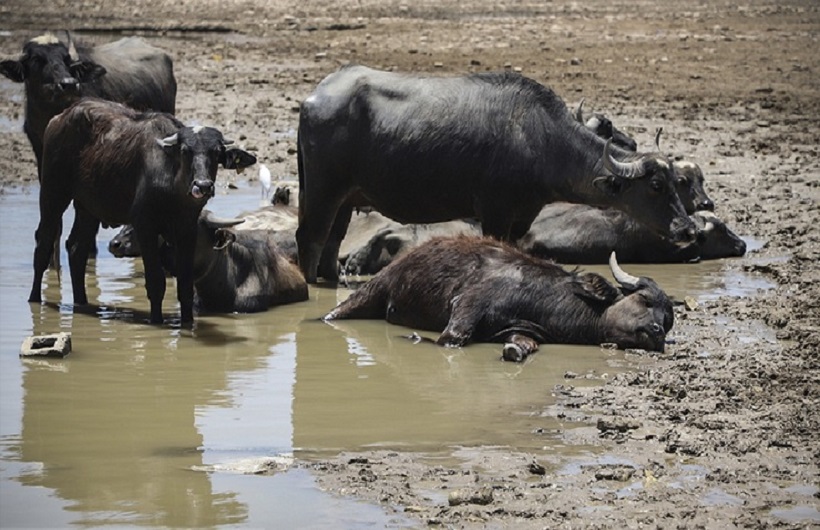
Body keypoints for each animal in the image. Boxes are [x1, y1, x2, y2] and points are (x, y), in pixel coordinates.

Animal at [28, 97, 255, 324]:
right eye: (185, 151)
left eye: (216, 153)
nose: (203, 185)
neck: (171, 187)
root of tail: (60, 117)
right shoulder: (145, 227)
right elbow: (155, 283)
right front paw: (156, 321)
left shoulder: (187, 229)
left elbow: (185, 284)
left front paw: (187, 324)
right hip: (52, 194)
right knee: (43, 245)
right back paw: (35, 300)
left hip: (88, 208)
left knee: (76, 250)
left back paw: (82, 303)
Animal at [298, 64, 696, 282]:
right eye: (656, 185)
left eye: (676, 184)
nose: (688, 230)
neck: (540, 139)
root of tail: (314, 98)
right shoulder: (493, 212)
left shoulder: (522, 217)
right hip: (320, 189)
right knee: (310, 238)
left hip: (346, 197)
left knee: (332, 242)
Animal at [324, 234, 676, 358]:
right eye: (645, 300)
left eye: (668, 321)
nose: (657, 332)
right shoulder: (467, 305)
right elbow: (451, 339)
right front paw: (413, 337)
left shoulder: (524, 329)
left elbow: (523, 345)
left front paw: (513, 351)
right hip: (365, 295)